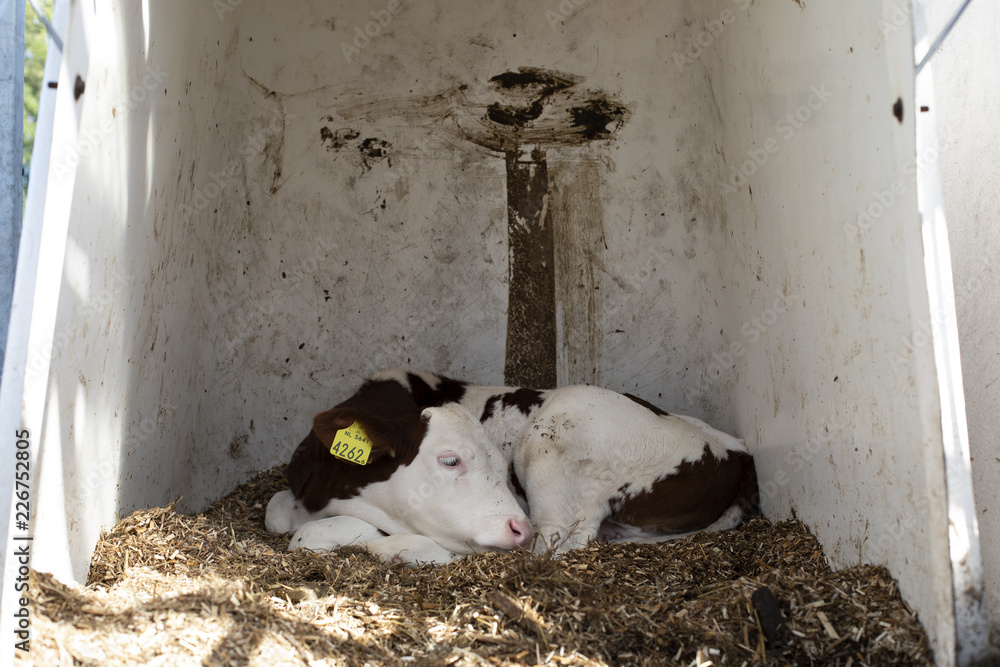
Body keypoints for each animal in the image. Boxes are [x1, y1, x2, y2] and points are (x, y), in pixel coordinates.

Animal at [265, 369, 759, 565]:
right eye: (451, 459)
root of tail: (736, 451)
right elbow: (275, 513)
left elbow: (312, 536)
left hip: (557, 434)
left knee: (551, 547)